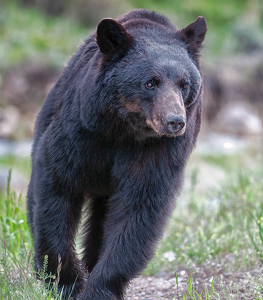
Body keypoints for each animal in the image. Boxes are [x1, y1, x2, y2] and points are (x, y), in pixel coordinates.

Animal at [26, 8, 208, 300]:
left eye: (184, 84)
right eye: (150, 82)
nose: (175, 121)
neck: (123, 129)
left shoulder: (157, 151)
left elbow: (139, 210)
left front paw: (98, 288)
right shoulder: (81, 131)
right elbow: (58, 186)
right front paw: (65, 281)